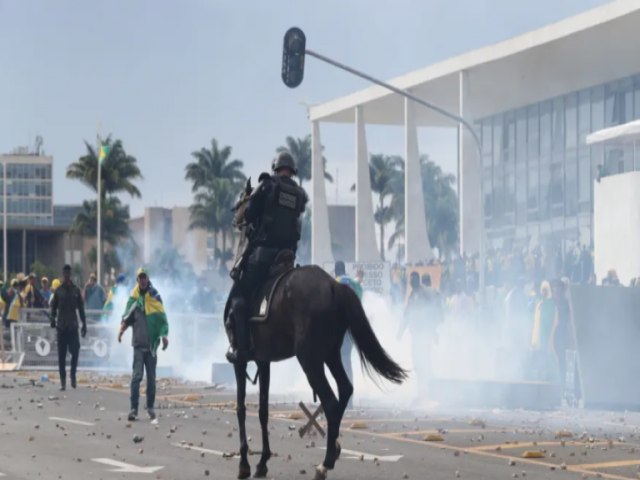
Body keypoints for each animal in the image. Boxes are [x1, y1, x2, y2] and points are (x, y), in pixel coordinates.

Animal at [226, 179, 404, 480]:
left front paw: (245, 464)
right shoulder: (263, 360)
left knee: (331, 400)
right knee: (345, 389)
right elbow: (262, 410)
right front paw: (262, 461)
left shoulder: (241, 360)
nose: (235, 213)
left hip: (309, 357)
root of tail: (334, 285)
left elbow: (240, 408)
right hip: (330, 352)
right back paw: (334, 448)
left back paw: (326, 462)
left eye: (245, 199)